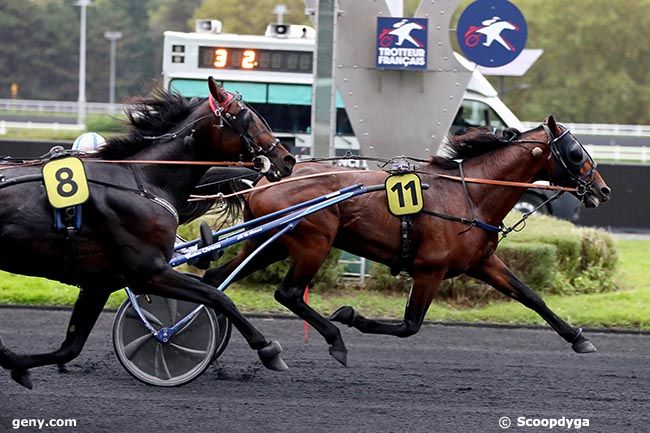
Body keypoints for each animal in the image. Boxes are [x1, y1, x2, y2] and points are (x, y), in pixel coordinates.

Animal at [0, 77, 294, 388]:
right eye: (245, 115)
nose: (287, 159)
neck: (142, 182)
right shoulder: (150, 272)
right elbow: (218, 297)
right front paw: (268, 348)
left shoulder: (100, 282)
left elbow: (70, 347)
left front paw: (15, 364)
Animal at [201, 115, 608, 364]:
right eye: (576, 152)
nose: (603, 190)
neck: (469, 194)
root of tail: (264, 178)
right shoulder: (430, 269)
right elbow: (410, 325)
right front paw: (352, 316)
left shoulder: (482, 262)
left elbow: (530, 296)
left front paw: (577, 337)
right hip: (312, 242)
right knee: (287, 293)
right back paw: (333, 338)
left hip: (270, 242)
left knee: (217, 279)